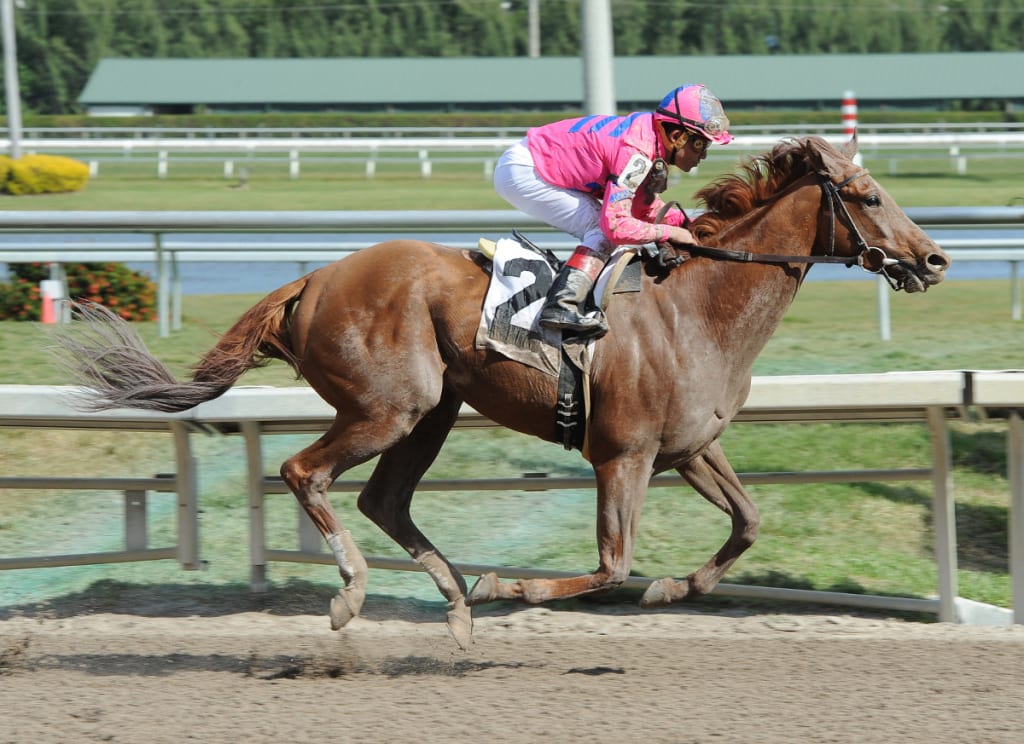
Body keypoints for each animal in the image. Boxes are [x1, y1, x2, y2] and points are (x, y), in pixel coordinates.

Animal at [54, 137, 950, 650]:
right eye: (869, 196)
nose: (935, 259)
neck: (698, 307)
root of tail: (313, 277)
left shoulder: (690, 448)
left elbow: (749, 521)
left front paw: (675, 587)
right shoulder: (621, 456)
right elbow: (610, 567)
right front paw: (507, 588)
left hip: (433, 411)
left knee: (384, 500)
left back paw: (452, 604)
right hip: (389, 406)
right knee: (307, 474)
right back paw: (360, 595)